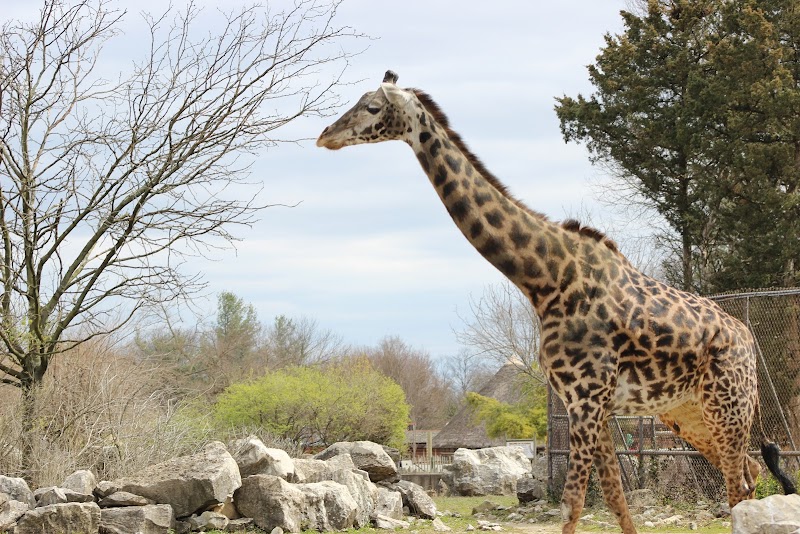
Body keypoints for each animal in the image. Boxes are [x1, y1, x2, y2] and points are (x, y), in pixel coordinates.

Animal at [316, 71, 794, 533]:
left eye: (371, 106)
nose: (325, 136)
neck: (545, 280)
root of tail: (748, 339)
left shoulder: (586, 399)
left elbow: (573, 504)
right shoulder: (589, 404)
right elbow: (616, 500)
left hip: (727, 407)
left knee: (738, 484)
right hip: (688, 413)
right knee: (750, 473)